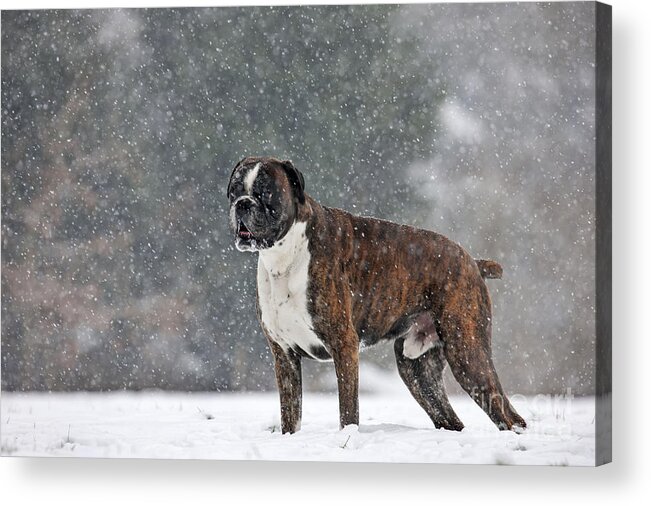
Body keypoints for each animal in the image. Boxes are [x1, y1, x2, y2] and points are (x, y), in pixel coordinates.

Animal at [227, 156, 528, 432]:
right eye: (234, 190)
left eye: (265, 192)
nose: (242, 203)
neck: (284, 257)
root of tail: (473, 262)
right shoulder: (285, 356)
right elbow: (290, 416)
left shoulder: (344, 346)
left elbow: (348, 411)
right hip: (418, 371)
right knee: (452, 419)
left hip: (467, 353)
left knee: (509, 416)